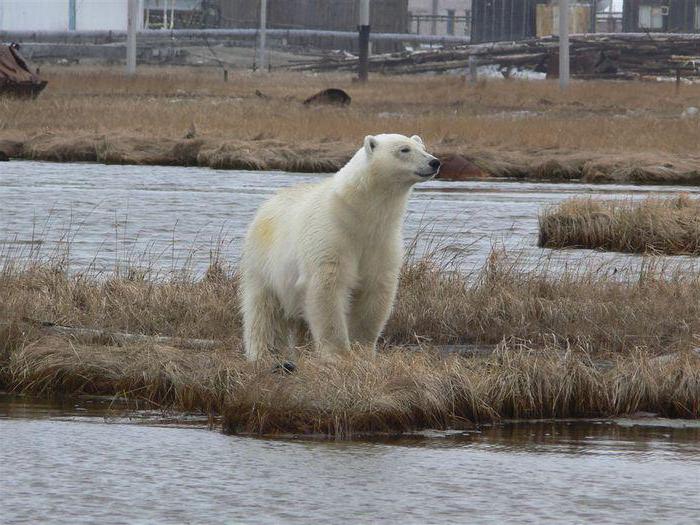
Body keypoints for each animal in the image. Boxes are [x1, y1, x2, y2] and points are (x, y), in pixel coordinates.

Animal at [238, 133, 440, 360]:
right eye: (404, 149)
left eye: (423, 147)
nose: (434, 162)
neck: (360, 213)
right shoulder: (331, 236)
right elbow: (327, 289)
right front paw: (338, 354)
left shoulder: (381, 241)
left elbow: (374, 291)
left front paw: (363, 350)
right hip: (263, 261)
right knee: (264, 310)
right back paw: (264, 353)